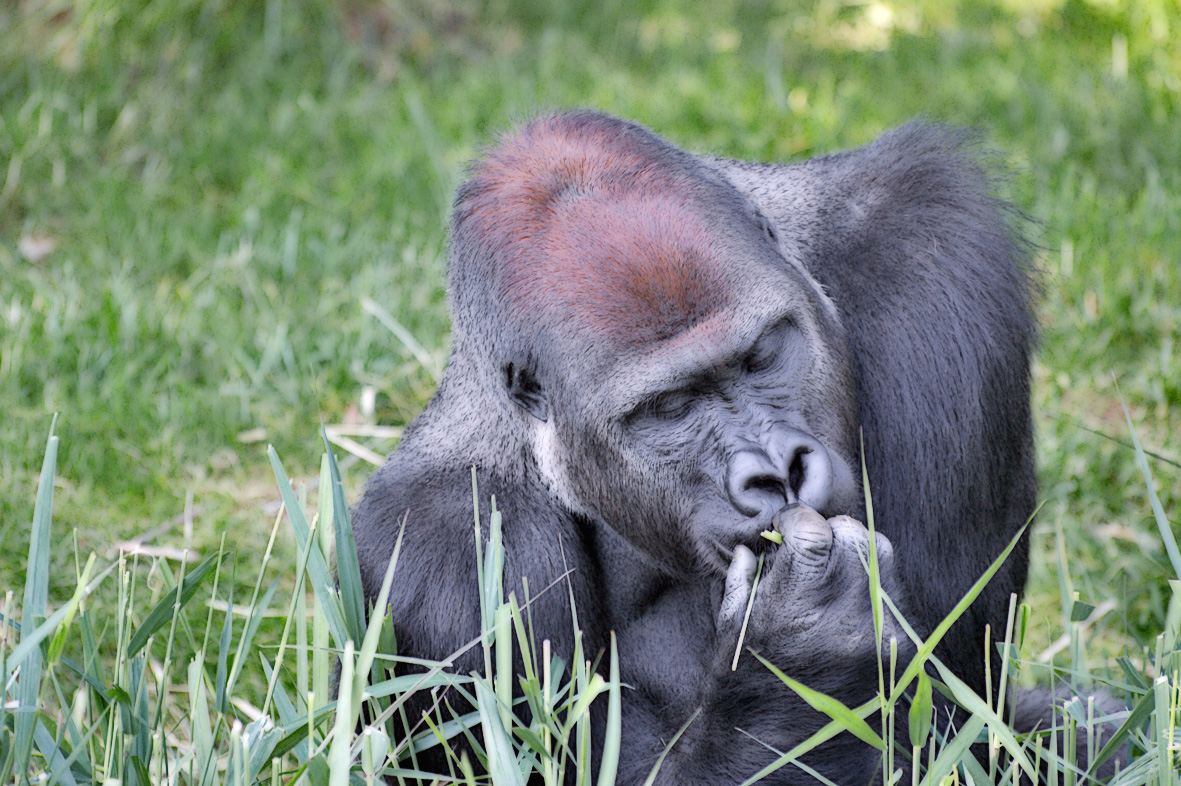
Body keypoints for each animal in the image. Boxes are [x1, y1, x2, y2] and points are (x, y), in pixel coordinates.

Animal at [349, 111, 1034, 783]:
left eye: (762, 355)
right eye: (671, 406)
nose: (779, 473)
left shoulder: (929, 253)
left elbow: (958, 731)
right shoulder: (437, 548)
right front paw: (806, 645)